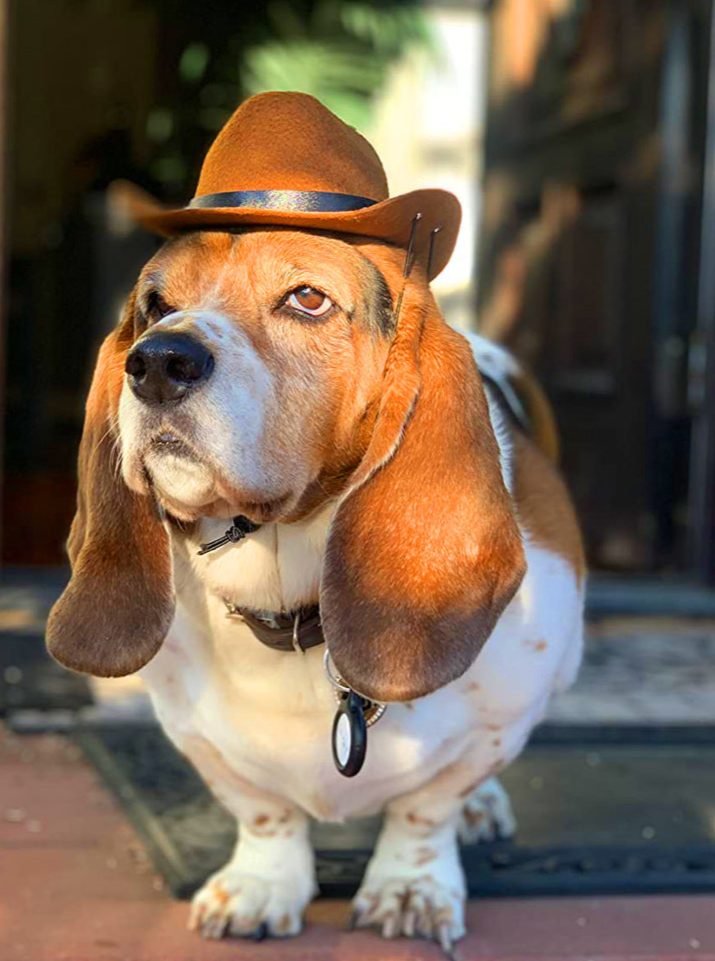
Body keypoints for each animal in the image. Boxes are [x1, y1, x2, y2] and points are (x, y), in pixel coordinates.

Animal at [44, 94, 584, 948]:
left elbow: (425, 805)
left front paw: (410, 886)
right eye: (154, 305)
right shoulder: (194, 733)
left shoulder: (508, 710)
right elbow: (261, 809)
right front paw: (262, 885)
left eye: (306, 298)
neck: (289, 603)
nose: (157, 360)